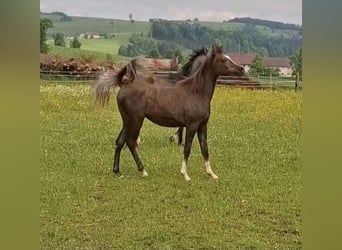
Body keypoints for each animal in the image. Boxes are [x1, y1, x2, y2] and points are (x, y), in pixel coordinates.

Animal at [95, 45, 244, 180]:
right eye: (224, 60)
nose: (241, 69)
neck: (196, 91)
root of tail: (124, 84)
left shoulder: (202, 125)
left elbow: (205, 148)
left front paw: (211, 174)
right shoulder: (192, 125)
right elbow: (187, 148)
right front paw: (185, 174)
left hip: (127, 121)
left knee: (120, 141)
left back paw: (117, 171)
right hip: (136, 120)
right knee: (131, 142)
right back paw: (143, 171)